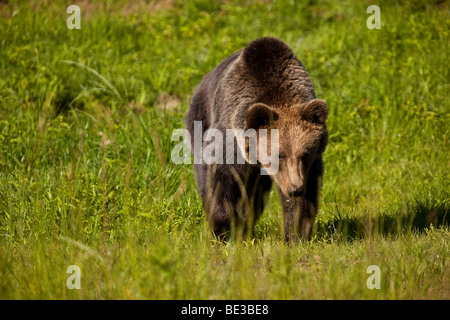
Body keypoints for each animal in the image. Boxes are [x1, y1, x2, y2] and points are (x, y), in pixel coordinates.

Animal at [185, 36, 328, 241]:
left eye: (305, 154)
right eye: (278, 155)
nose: (295, 189)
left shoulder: (308, 166)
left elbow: (304, 199)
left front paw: (295, 234)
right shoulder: (229, 142)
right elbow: (219, 182)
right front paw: (223, 229)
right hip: (200, 119)